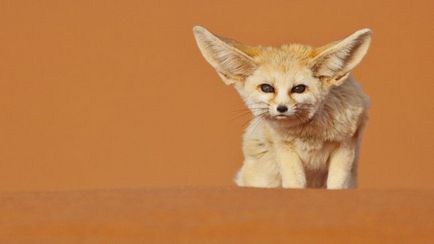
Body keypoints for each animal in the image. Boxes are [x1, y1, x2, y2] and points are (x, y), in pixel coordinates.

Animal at [194, 25, 372, 189]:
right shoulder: (284, 147)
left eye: (299, 89)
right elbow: (294, 183)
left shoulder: (345, 144)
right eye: (267, 88)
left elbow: (337, 185)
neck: (310, 134)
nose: (281, 108)